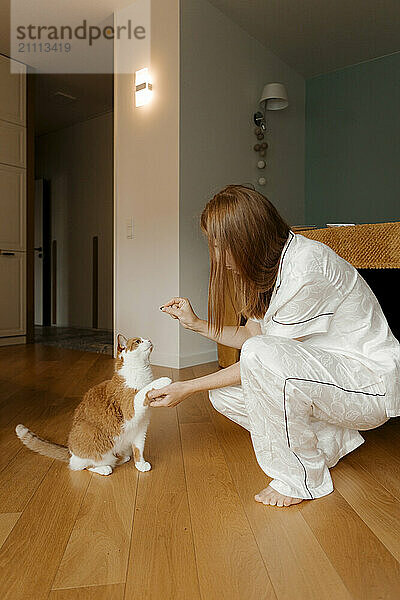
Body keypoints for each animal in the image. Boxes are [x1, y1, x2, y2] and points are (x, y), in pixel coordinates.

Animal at [14, 336, 169, 476]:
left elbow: (139, 449)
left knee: (115, 458)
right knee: (84, 466)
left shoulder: (141, 428)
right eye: (138, 341)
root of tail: (70, 452)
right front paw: (163, 381)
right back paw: (104, 468)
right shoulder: (130, 407)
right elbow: (144, 391)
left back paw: (122, 458)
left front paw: (140, 464)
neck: (140, 373)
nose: (149, 340)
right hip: (89, 432)